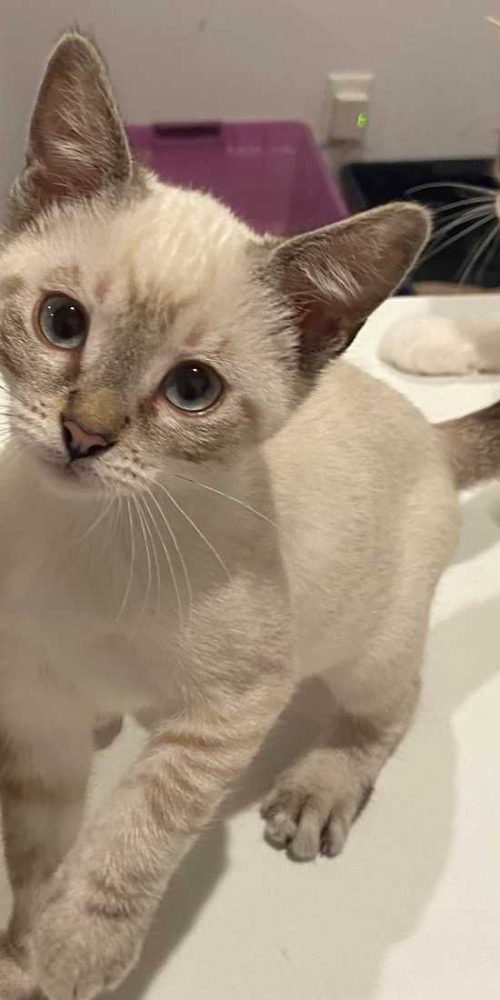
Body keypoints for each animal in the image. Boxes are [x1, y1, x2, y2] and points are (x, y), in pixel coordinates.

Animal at [0, 30, 499, 1000]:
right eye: (61, 323)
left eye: (192, 390)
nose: (83, 436)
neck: (80, 542)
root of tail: (426, 431)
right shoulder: (34, 711)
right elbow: (34, 858)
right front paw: (19, 956)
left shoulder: (231, 710)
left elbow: (133, 836)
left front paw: (74, 953)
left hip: (369, 648)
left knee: (393, 705)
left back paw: (320, 786)